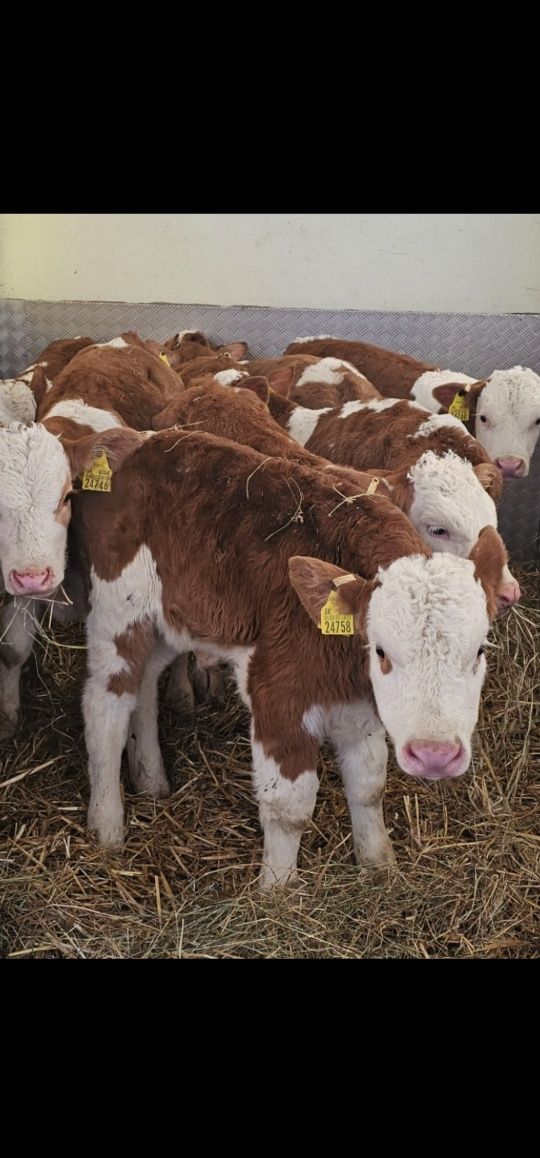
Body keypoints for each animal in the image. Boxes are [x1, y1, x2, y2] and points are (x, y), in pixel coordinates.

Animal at [63, 426, 505, 884]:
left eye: (479, 650)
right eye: (382, 650)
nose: (435, 755)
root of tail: (135, 441)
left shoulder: (359, 705)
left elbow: (369, 785)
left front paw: (379, 865)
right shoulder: (278, 697)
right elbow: (289, 807)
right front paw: (277, 888)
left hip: (170, 615)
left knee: (145, 685)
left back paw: (151, 779)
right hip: (117, 611)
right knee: (106, 705)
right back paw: (107, 824)